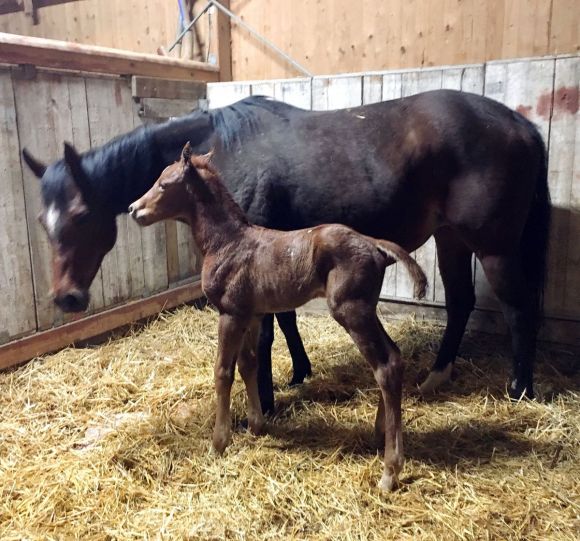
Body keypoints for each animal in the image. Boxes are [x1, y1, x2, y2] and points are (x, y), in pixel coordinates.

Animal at [21, 89, 548, 410]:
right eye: (44, 222)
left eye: (80, 216)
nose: (66, 297)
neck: (223, 149)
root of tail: (520, 126)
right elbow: (287, 318)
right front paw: (298, 373)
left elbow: (265, 335)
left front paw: (268, 402)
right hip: (451, 238)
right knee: (460, 302)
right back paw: (437, 376)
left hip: (494, 246)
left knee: (518, 307)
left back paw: (520, 388)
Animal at [128, 142, 426, 490]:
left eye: (164, 184)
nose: (134, 209)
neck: (227, 243)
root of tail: (375, 245)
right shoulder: (252, 314)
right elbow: (249, 364)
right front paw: (256, 426)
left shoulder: (229, 313)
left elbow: (223, 372)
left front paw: (219, 442)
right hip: (365, 309)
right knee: (395, 357)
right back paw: (380, 433)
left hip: (351, 310)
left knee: (385, 366)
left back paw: (390, 472)